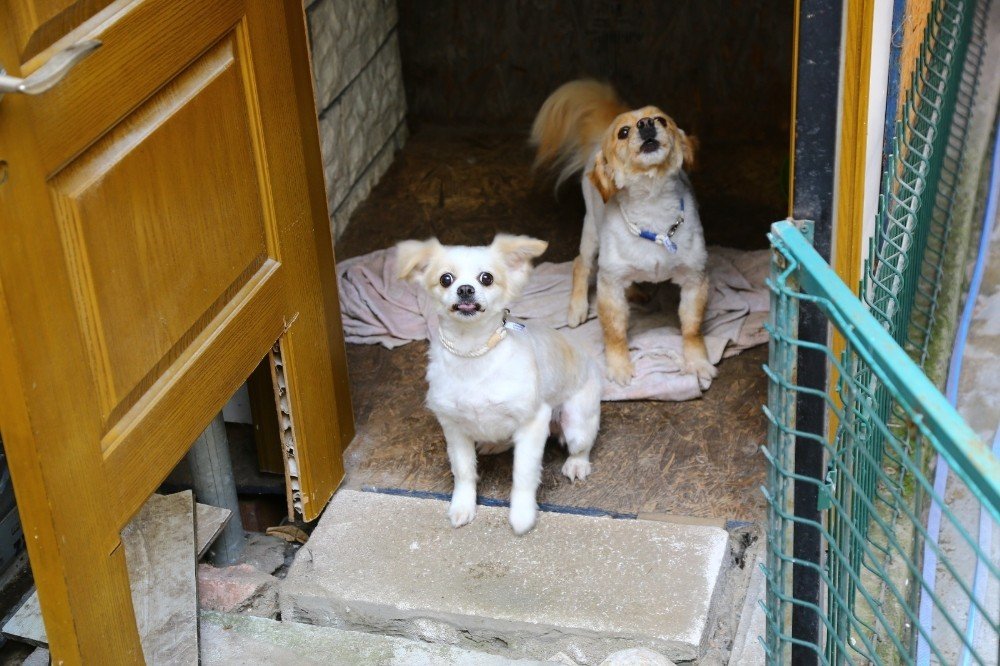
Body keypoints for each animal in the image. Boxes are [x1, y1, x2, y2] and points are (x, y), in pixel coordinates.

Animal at [396, 235, 600, 536]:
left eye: (486, 278)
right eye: (446, 279)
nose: (465, 289)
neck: (472, 351)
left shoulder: (532, 422)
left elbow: (524, 474)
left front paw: (522, 515)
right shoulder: (454, 428)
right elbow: (464, 471)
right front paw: (463, 506)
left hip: (576, 422)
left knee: (580, 446)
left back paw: (576, 464)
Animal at [532, 80, 720, 386]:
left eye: (662, 120)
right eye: (623, 132)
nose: (646, 124)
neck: (653, 207)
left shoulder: (695, 280)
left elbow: (692, 328)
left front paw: (698, 361)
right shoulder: (610, 288)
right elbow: (614, 332)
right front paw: (619, 366)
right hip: (592, 231)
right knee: (581, 264)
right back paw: (577, 307)